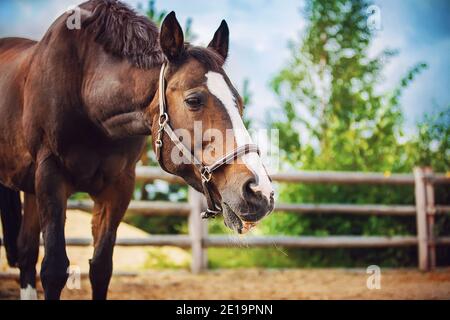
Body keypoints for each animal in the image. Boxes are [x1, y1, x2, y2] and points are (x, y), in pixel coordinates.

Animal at [0, 0, 274, 300]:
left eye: (240, 103)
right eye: (193, 100)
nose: (260, 192)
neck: (85, 92)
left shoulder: (119, 187)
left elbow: (101, 268)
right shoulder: (51, 177)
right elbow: (53, 269)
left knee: (26, 252)